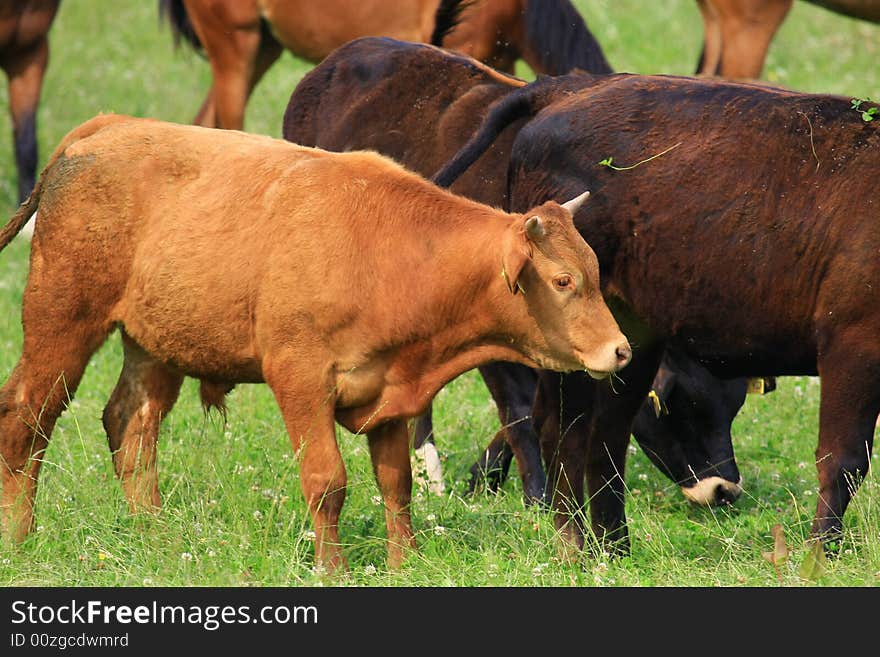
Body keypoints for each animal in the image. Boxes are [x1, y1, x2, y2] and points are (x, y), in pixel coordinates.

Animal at [0, 113, 632, 568]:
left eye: (594, 269)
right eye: (563, 280)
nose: (621, 349)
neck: (390, 251)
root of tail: (102, 128)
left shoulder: (387, 391)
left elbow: (396, 484)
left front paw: (404, 563)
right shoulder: (299, 378)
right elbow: (327, 482)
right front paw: (333, 569)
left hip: (154, 343)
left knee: (131, 425)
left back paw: (154, 534)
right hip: (63, 319)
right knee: (27, 415)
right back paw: (18, 536)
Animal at [288, 37, 748, 508]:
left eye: (734, 406)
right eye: (675, 403)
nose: (724, 488)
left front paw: (484, 476)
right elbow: (522, 409)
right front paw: (537, 495)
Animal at [434, 70, 880, 552]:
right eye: (685, 406)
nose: (724, 490)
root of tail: (572, 87)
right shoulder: (851, 344)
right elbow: (843, 461)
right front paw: (821, 551)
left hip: (631, 338)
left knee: (605, 433)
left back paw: (612, 547)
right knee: (561, 428)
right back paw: (575, 542)